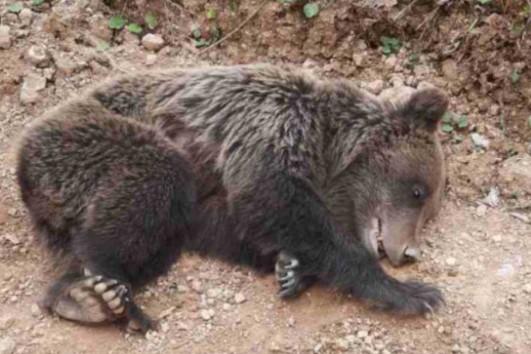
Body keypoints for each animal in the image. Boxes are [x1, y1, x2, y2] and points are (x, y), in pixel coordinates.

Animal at [15, 65, 448, 334]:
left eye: (429, 211)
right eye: (418, 192)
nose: (408, 252)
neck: (325, 145)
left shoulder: (213, 198)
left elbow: (234, 227)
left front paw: (291, 270)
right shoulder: (268, 129)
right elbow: (274, 203)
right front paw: (414, 293)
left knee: (153, 241)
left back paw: (86, 296)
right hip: (86, 140)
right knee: (154, 176)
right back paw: (106, 294)